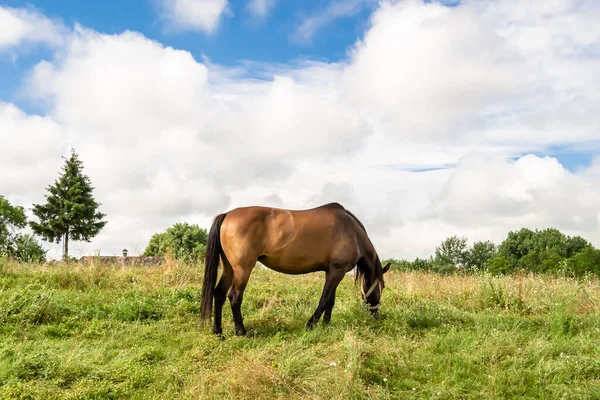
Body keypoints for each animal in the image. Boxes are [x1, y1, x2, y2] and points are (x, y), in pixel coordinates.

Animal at [199, 202, 392, 336]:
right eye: (382, 287)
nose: (376, 315)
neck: (353, 232)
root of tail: (227, 215)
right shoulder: (337, 271)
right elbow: (324, 300)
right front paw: (310, 325)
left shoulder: (332, 271)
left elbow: (330, 301)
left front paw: (326, 325)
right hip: (242, 269)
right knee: (234, 296)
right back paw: (241, 332)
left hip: (229, 268)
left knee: (219, 293)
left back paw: (218, 331)